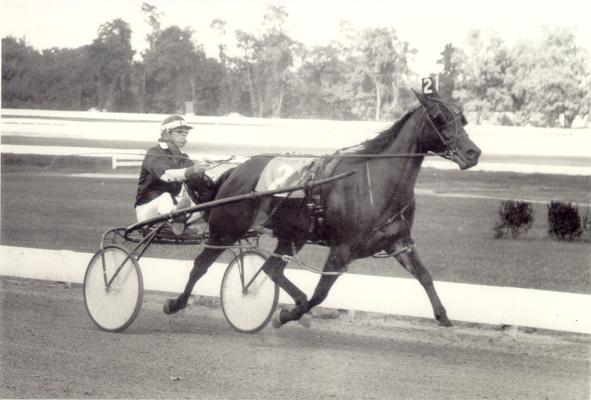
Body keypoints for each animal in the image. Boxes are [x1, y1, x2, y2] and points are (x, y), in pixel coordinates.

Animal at [162, 88, 480, 328]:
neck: (378, 183)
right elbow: (321, 293)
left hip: (292, 235)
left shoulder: (399, 242)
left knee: (271, 269)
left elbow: (425, 275)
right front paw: (287, 314)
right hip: (225, 230)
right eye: (439, 117)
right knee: (200, 266)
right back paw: (176, 303)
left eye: (462, 118)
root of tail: (236, 171)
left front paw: (443, 315)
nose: (473, 153)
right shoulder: (342, 248)